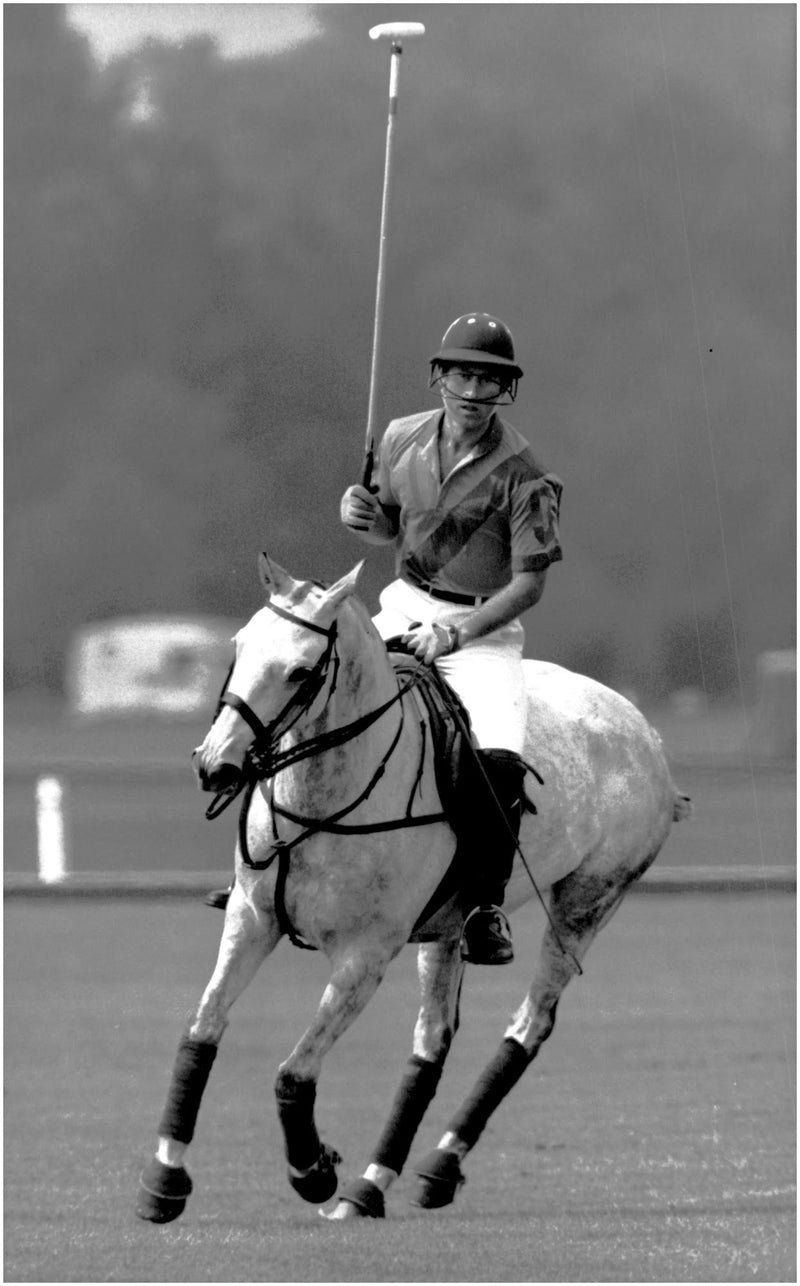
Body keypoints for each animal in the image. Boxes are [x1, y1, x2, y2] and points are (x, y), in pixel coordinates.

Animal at [135, 558, 694, 1219]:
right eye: (239, 647)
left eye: (300, 670)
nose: (214, 765)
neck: (323, 799)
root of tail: (646, 732)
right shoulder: (251, 919)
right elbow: (201, 1030)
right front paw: (165, 1178)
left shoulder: (366, 954)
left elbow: (294, 1071)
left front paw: (312, 1170)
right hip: (447, 927)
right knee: (433, 1040)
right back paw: (371, 1186)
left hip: (587, 902)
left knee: (529, 1024)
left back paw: (438, 1165)